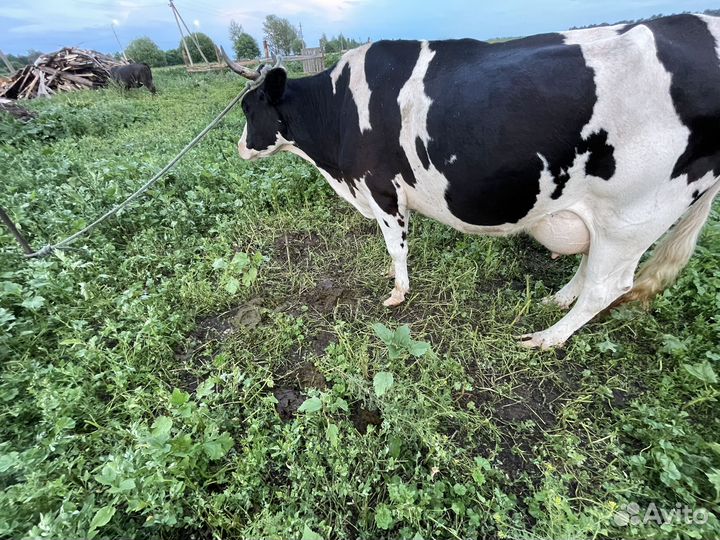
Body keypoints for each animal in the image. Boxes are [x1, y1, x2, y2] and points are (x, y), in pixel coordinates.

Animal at [223, 14, 720, 349]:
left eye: (250, 107)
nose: (241, 147)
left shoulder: (381, 188)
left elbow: (396, 247)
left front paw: (397, 294)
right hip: (606, 214)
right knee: (590, 268)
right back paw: (555, 302)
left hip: (632, 215)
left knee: (607, 287)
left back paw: (546, 338)